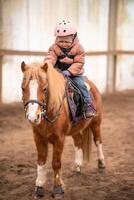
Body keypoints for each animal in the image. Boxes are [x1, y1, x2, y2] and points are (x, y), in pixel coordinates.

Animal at [20, 61, 105, 198]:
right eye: (23, 88)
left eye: (45, 88)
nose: (33, 117)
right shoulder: (38, 138)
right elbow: (41, 161)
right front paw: (39, 187)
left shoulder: (59, 138)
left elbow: (56, 163)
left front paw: (58, 188)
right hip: (76, 129)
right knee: (79, 141)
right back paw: (77, 166)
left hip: (96, 123)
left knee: (98, 141)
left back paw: (101, 164)